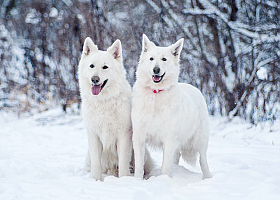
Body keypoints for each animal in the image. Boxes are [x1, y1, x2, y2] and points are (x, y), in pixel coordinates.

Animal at [132, 34, 212, 180]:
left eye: (164, 59)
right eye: (151, 59)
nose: (156, 70)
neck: (156, 94)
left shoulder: (168, 139)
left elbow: (165, 167)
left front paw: (163, 180)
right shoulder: (139, 137)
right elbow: (139, 166)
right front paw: (136, 181)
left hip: (200, 141)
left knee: (202, 160)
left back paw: (208, 177)